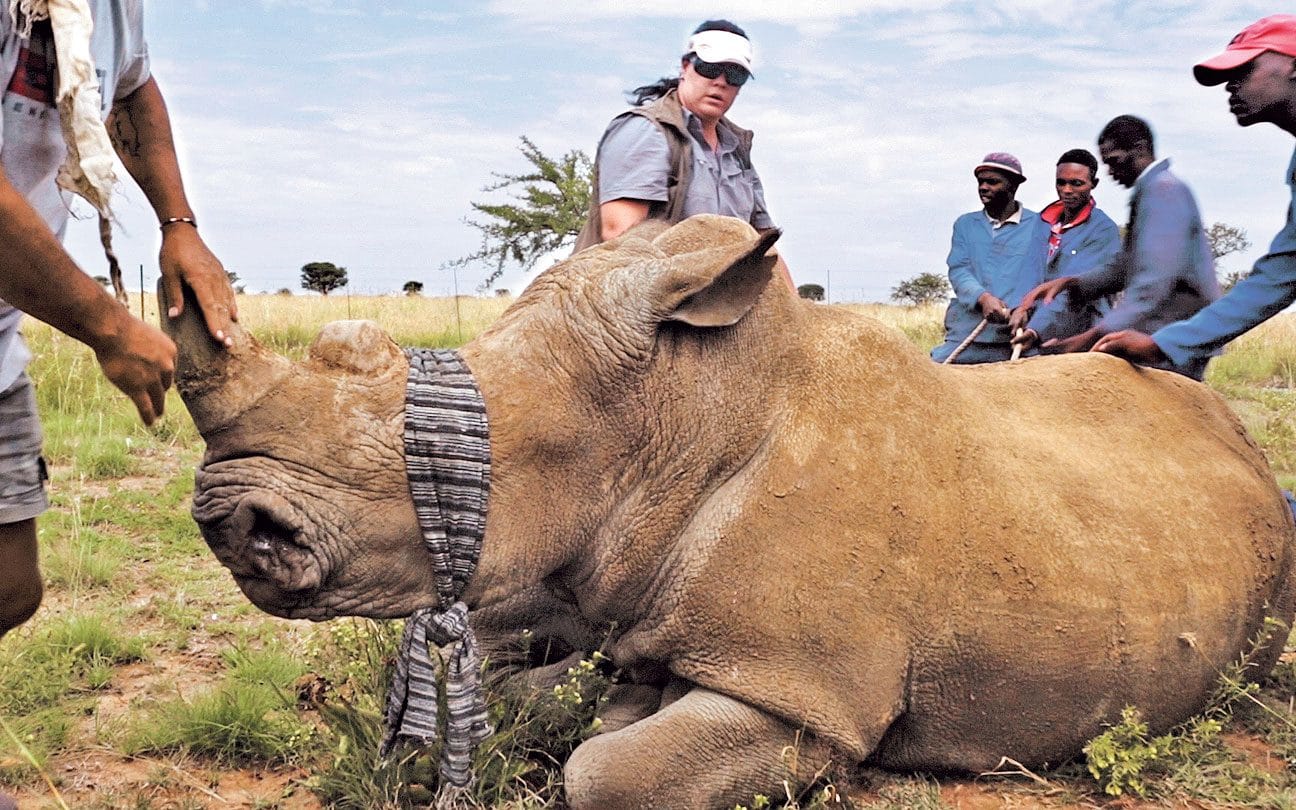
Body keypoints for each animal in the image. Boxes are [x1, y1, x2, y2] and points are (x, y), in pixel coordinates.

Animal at [166, 216, 1296, 809]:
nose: (229, 519)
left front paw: (606, 725)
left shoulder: (807, 692)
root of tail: (1235, 431)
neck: (677, 413)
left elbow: (605, 771)